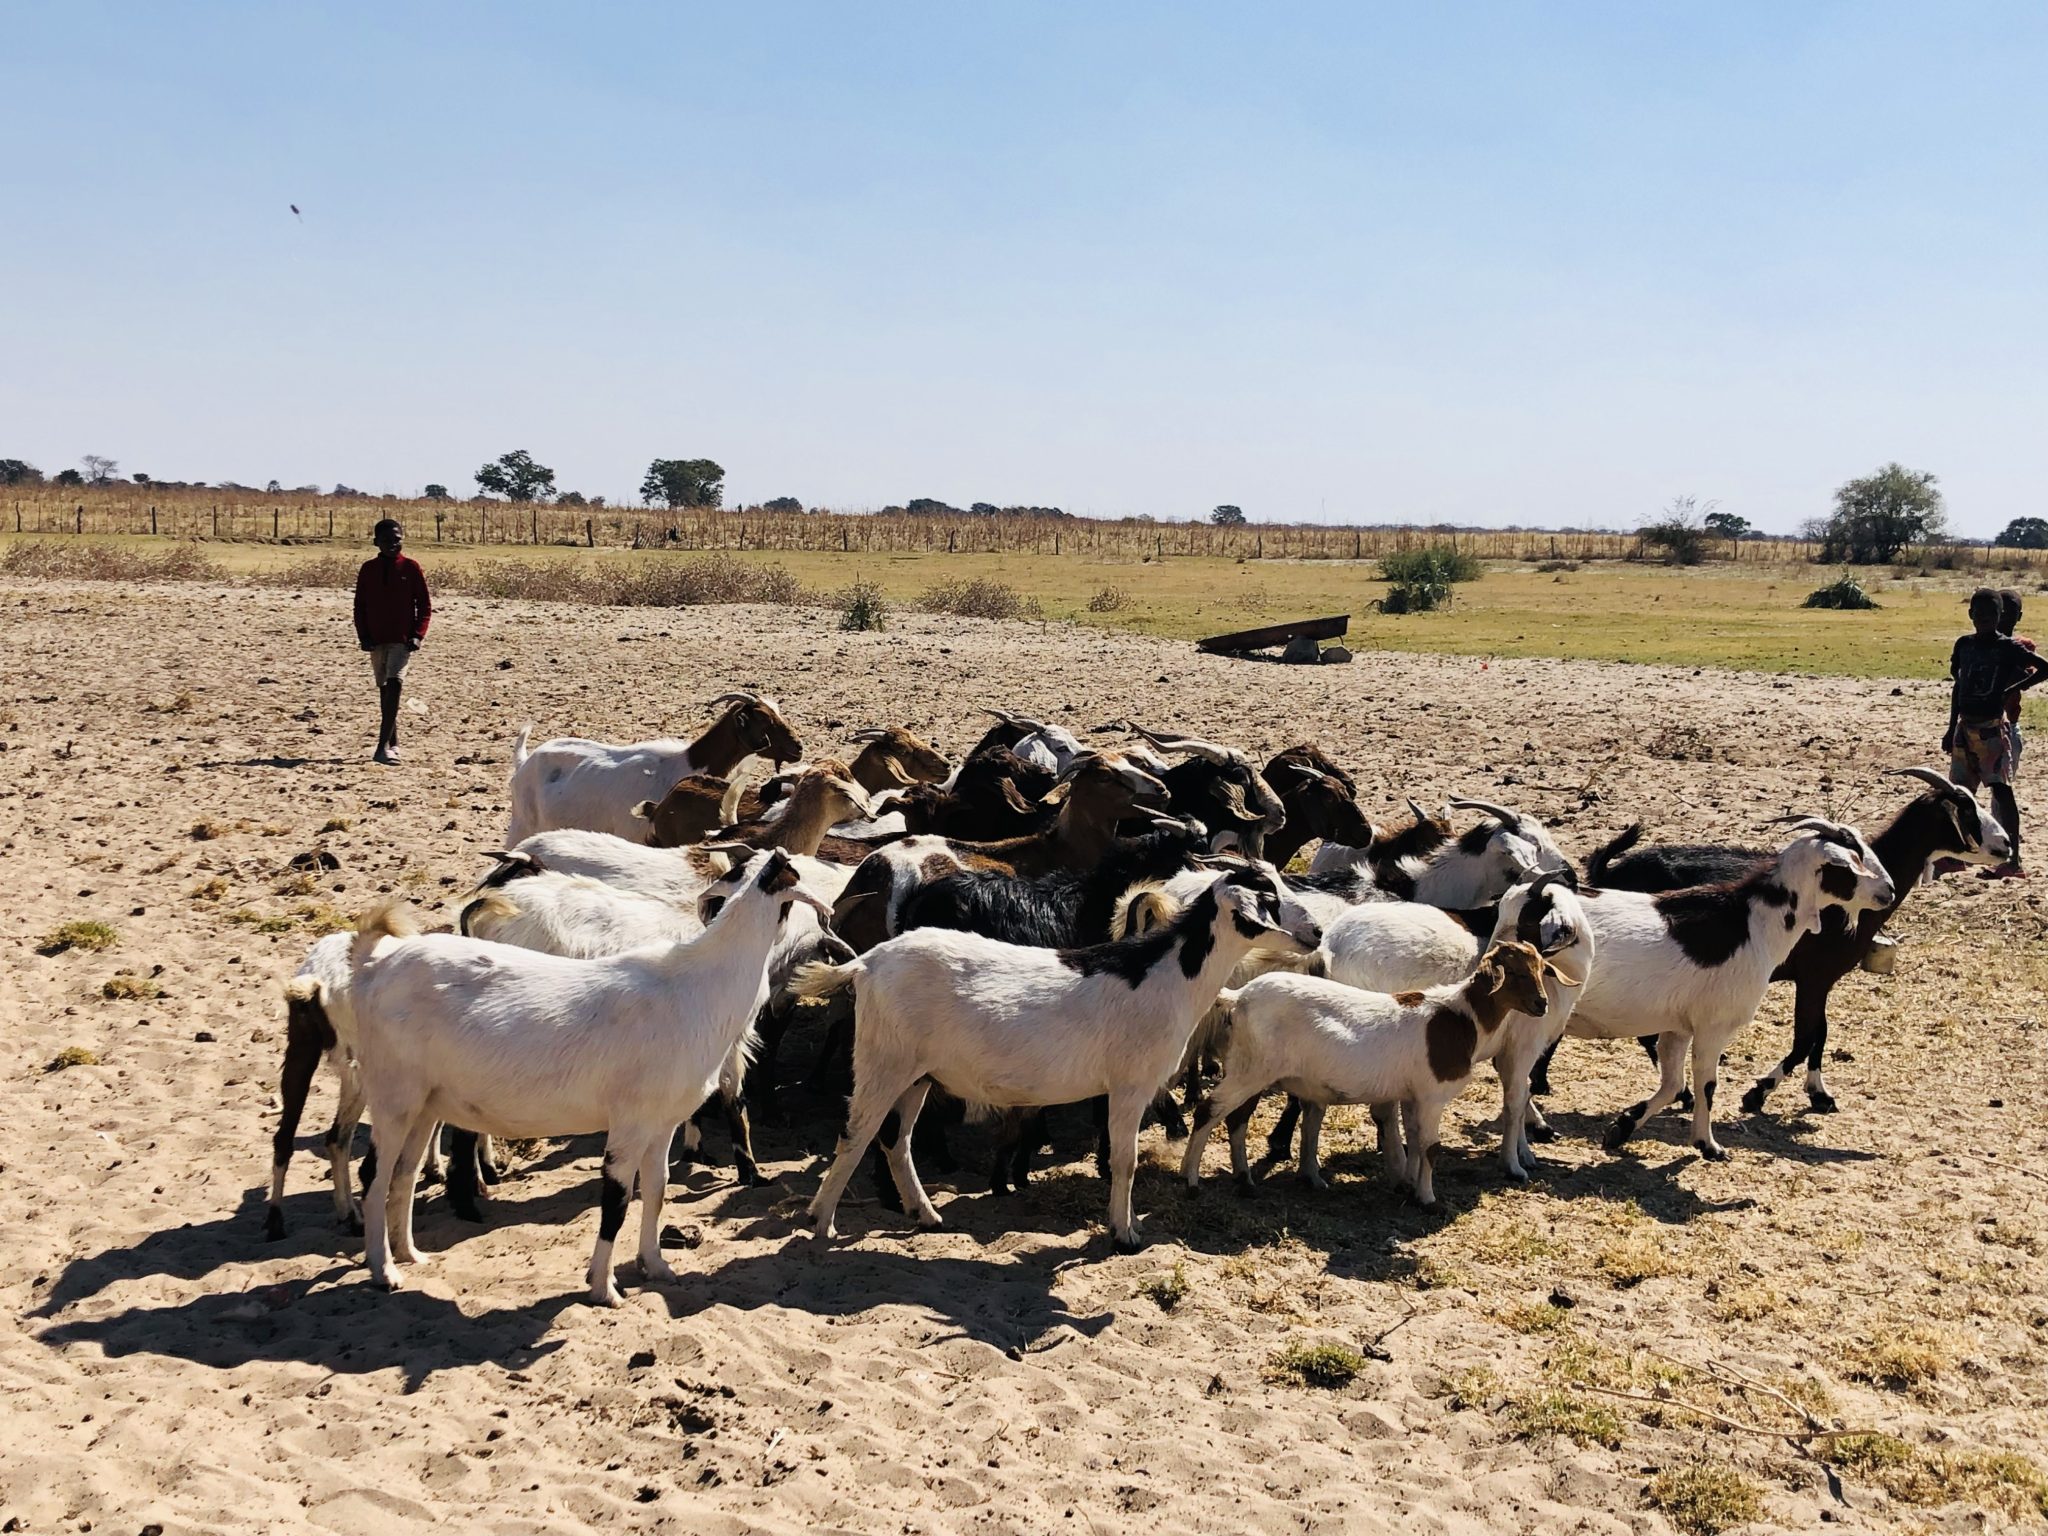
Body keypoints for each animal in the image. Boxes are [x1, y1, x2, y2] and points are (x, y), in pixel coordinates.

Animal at [329, 849, 825, 1302]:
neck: (700, 983)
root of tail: (373, 965)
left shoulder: (662, 1122)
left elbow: (658, 1190)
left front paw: (656, 1265)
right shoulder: (630, 1122)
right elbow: (617, 1203)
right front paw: (604, 1288)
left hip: (427, 1102)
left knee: (404, 1173)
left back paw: (409, 1253)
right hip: (394, 1093)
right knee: (374, 1173)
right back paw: (384, 1270)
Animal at [796, 866, 1323, 1250]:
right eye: (1270, 899)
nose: (1317, 932)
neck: (1166, 975)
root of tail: (865, 963)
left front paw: (1124, 1225)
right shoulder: (1130, 1085)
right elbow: (1125, 1161)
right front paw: (1125, 1234)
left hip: (919, 1072)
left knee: (895, 1140)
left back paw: (924, 1214)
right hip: (884, 1060)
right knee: (856, 1133)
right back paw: (822, 1222)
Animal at [1185, 939, 1563, 1206]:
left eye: (1541, 969)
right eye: (1515, 972)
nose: (1541, 1004)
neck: (1461, 1020)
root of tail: (1238, 998)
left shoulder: (1413, 1094)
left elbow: (1414, 1139)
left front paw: (1409, 1185)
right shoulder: (1432, 1093)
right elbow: (1431, 1147)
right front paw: (1428, 1199)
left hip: (1249, 1067)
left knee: (1236, 1118)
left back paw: (1244, 1179)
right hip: (1251, 1069)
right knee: (1208, 1110)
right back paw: (1189, 1178)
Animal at [1561, 822, 1895, 1160]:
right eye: (1853, 862)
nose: (1889, 891)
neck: (1751, 923)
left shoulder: (1677, 1026)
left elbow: (1673, 1083)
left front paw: (1622, 1127)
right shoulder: (1714, 1025)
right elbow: (1708, 1083)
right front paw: (1708, 1145)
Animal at [1577, 770, 2009, 1114]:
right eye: (1965, 810)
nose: (2005, 845)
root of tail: (1610, 870)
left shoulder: (1823, 979)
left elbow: (1821, 1033)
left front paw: (1819, 1094)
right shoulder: (1814, 976)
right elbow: (1805, 1038)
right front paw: (1757, 1093)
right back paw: (1683, 1096)